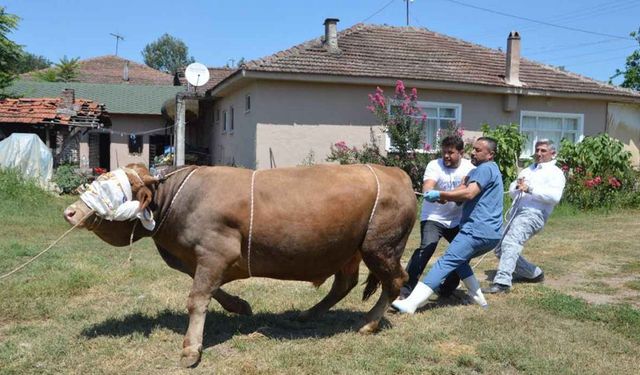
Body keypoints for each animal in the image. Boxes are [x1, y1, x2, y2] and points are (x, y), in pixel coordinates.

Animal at [63, 164, 416, 368]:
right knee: (345, 283)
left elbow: (197, 298)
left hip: (380, 247)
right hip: (348, 249)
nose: (70, 212)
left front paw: (191, 349)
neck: (178, 200)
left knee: (396, 280)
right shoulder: (202, 258)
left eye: (112, 190)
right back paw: (307, 314)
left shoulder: (215, 251)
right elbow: (211, 291)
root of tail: (397, 173)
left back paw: (368, 323)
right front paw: (240, 305)